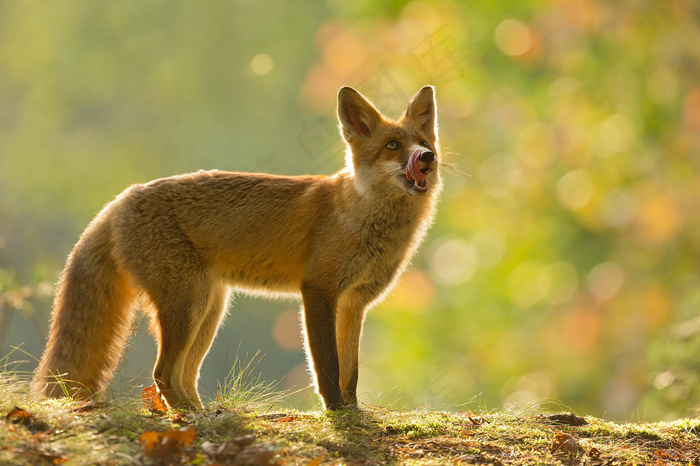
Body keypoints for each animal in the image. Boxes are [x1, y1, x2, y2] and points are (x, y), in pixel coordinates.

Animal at [32, 85, 440, 410]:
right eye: (392, 146)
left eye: (423, 143)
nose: (427, 158)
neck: (361, 215)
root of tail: (120, 199)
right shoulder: (318, 292)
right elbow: (327, 366)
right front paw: (336, 412)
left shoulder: (354, 303)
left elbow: (350, 372)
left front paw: (353, 411)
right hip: (188, 304)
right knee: (162, 373)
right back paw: (188, 416)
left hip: (209, 309)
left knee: (182, 374)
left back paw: (202, 412)